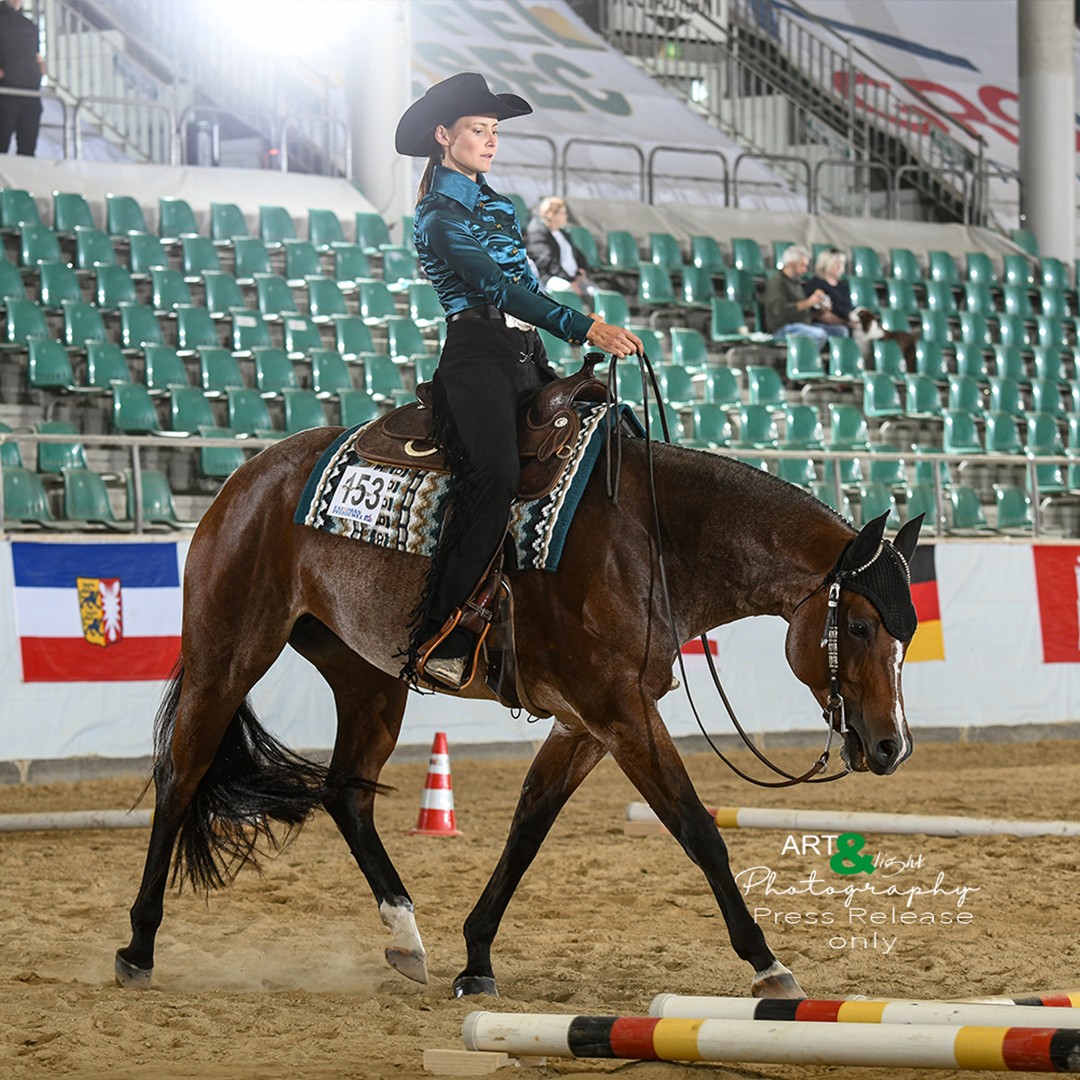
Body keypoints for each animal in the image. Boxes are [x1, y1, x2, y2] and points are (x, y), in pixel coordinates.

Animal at [115, 422, 923, 1000]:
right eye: (857, 625)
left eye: (907, 632)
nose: (891, 747)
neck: (653, 540)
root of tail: (245, 478)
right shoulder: (619, 712)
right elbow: (698, 831)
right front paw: (767, 965)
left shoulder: (587, 721)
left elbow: (529, 825)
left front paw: (476, 957)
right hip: (228, 653)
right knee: (180, 775)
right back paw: (138, 947)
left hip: (370, 678)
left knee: (345, 793)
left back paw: (407, 937)